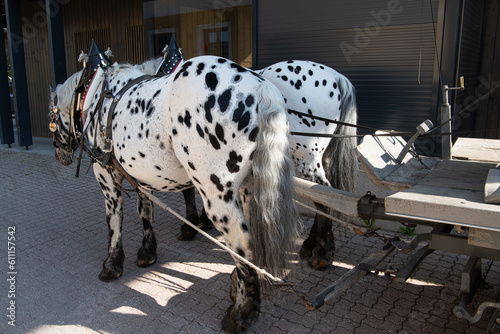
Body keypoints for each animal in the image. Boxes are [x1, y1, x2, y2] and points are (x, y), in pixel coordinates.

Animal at [174, 58, 358, 272]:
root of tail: (336, 76)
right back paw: (311, 245)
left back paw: (322, 252)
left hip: (307, 157)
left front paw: (191, 225)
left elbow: (189, 189)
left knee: (323, 197)